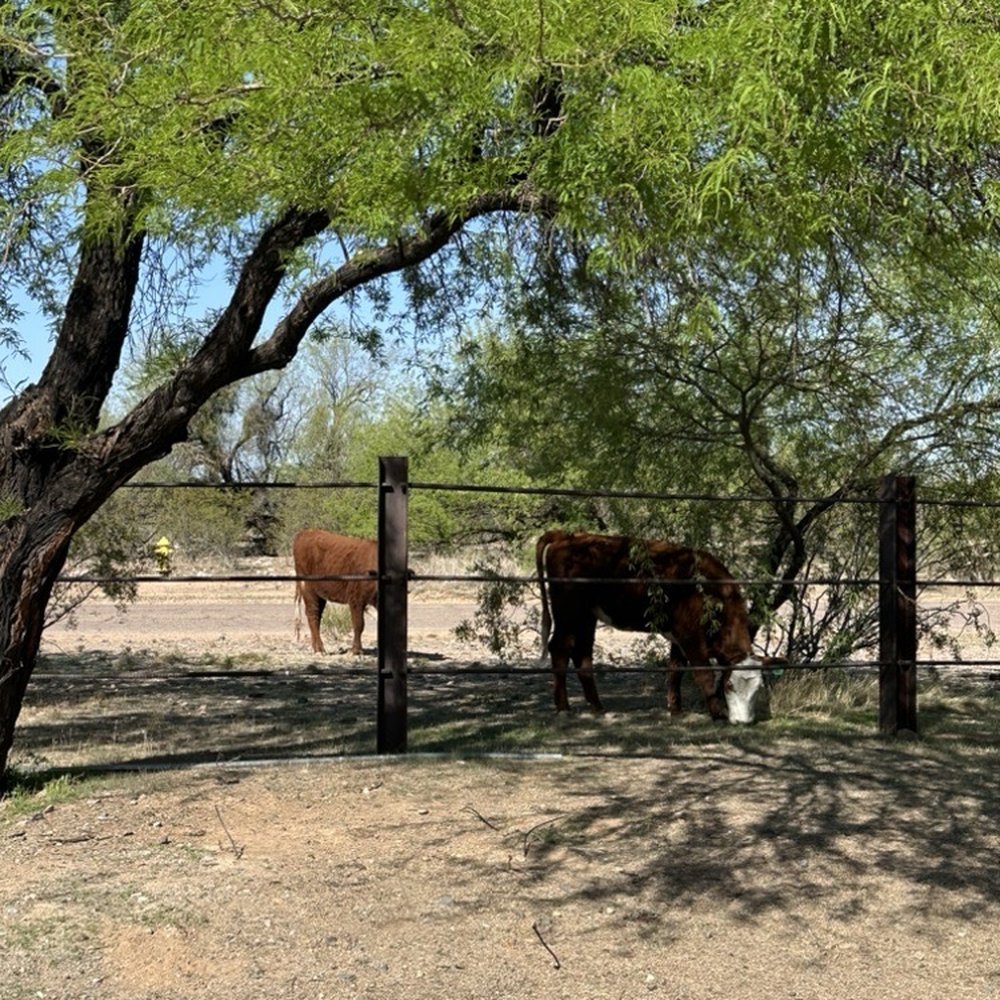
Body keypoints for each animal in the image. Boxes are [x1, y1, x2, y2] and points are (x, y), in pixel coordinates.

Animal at [537, 530, 768, 724]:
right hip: (568, 612)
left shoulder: (678, 637)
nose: (743, 722)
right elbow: (704, 674)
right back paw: (563, 707)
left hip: (586, 616)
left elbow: (675, 671)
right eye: (729, 686)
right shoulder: (690, 637)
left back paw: (597, 706)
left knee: (582, 654)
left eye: (759, 689)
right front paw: (717, 713)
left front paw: (675, 710)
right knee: (560, 648)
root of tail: (570, 536)